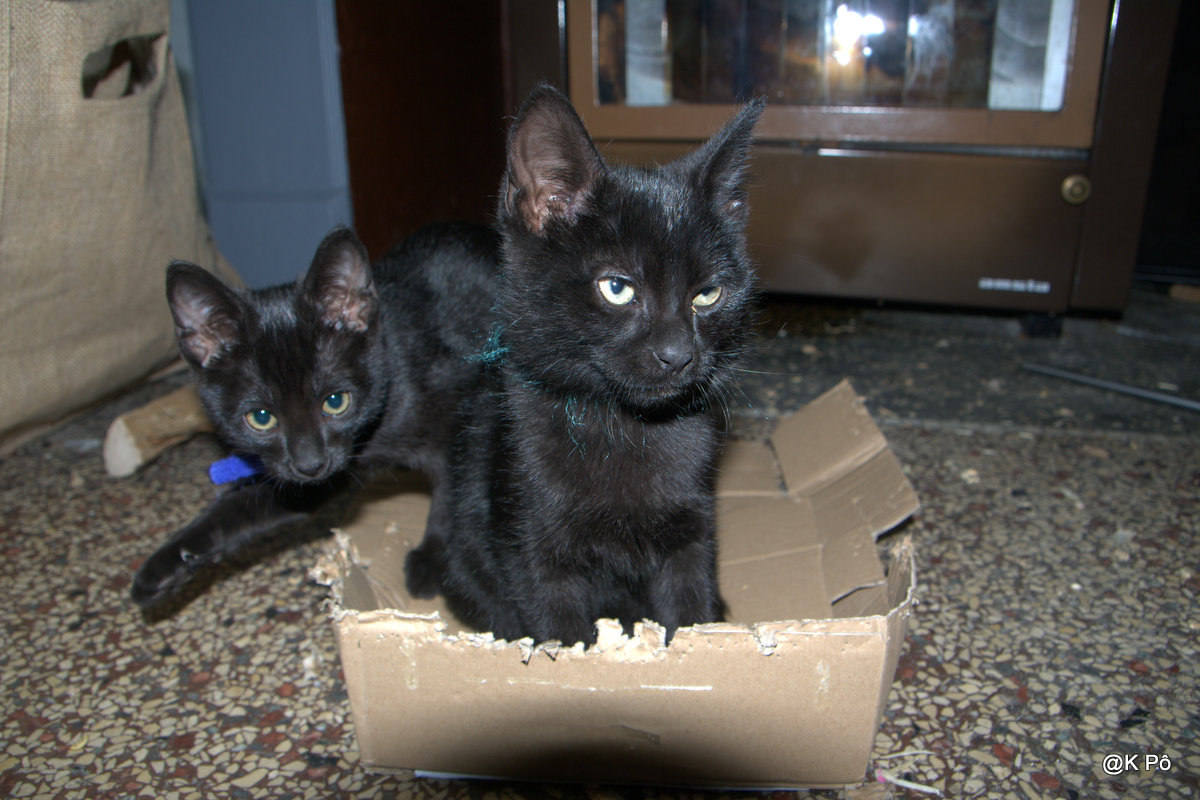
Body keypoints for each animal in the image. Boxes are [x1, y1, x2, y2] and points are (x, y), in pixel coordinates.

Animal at [131, 222, 498, 608]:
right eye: (261, 418)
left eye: (336, 401)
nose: (310, 464)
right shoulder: (316, 478)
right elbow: (247, 505)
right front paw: (166, 565)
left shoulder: (458, 421)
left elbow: (450, 497)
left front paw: (432, 559)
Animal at [417, 85, 764, 646]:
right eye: (617, 288)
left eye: (708, 295)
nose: (678, 354)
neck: (624, 425)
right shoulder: (532, 547)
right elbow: (559, 630)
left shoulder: (693, 536)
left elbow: (691, 615)